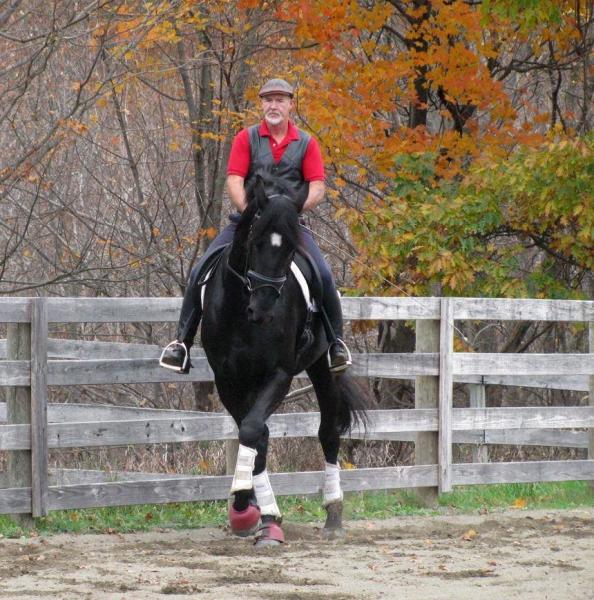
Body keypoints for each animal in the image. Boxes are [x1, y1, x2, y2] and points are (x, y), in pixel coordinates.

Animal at [199, 172, 366, 544]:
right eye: (254, 242)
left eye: (290, 249)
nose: (263, 309)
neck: (240, 310)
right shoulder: (228, 380)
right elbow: (255, 436)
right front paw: (252, 512)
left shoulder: (278, 374)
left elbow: (251, 431)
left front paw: (248, 503)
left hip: (322, 368)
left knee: (328, 434)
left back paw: (334, 514)